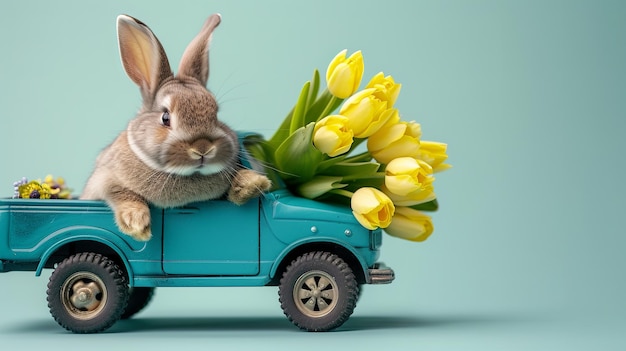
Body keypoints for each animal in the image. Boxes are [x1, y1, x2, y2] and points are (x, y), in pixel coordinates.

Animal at [79, 14, 270, 245]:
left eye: (216, 114)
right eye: (165, 117)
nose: (203, 148)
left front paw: (252, 183)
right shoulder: (103, 179)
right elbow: (120, 192)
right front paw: (137, 224)